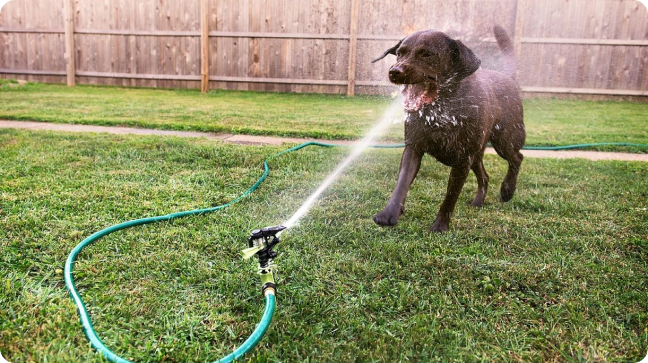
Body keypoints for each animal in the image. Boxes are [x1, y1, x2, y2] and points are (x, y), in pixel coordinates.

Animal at [370, 27, 528, 235]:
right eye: (399, 53)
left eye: (427, 54)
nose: (395, 71)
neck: (442, 108)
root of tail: (506, 76)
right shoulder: (413, 148)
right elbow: (402, 183)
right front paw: (389, 213)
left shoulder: (462, 159)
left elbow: (450, 197)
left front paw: (440, 226)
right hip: (476, 154)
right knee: (485, 176)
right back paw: (478, 201)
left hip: (504, 140)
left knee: (517, 157)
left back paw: (507, 190)